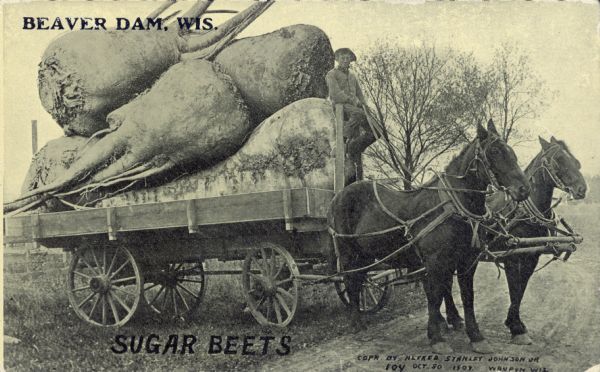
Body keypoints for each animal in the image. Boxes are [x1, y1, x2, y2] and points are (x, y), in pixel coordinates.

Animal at [328, 120, 528, 354]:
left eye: (511, 151)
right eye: (495, 151)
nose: (524, 189)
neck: (453, 206)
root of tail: (339, 196)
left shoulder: (467, 261)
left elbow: (467, 297)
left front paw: (476, 337)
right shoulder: (434, 262)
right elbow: (434, 296)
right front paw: (436, 338)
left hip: (366, 256)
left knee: (359, 281)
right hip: (348, 254)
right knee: (351, 282)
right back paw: (357, 325)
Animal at [440, 137, 584, 346]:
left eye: (575, 160)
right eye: (558, 160)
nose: (582, 189)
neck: (522, 213)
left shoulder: (531, 257)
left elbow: (521, 289)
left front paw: (515, 323)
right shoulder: (512, 258)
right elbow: (514, 288)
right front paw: (516, 328)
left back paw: (453, 318)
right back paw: (448, 319)